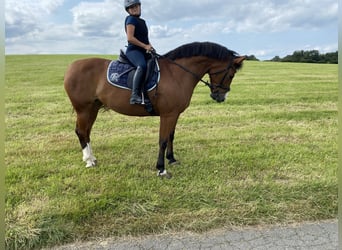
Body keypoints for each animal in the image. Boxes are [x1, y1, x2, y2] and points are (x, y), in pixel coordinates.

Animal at [64, 41, 246, 178]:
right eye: (231, 75)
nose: (220, 97)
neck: (176, 73)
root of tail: (71, 67)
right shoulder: (167, 115)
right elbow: (163, 140)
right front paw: (161, 169)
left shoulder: (174, 114)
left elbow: (171, 136)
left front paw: (172, 159)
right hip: (84, 109)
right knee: (81, 131)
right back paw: (89, 160)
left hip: (92, 108)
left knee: (86, 132)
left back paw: (91, 158)